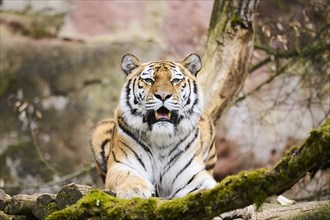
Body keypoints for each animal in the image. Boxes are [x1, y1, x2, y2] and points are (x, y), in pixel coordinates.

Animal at [90, 53, 218, 199]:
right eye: (149, 80)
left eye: (175, 80)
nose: (163, 95)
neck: (161, 138)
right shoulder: (121, 165)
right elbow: (128, 176)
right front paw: (133, 190)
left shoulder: (192, 174)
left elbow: (208, 186)